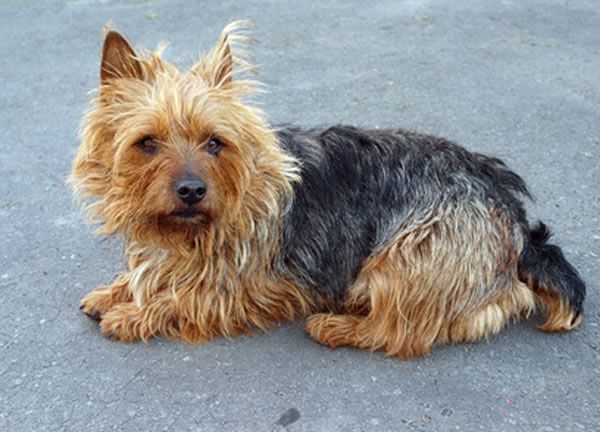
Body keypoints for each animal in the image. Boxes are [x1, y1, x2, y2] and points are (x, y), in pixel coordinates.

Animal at [68, 21, 584, 358]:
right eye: (146, 143)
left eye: (214, 142)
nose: (192, 190)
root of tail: (513, 213)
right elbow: (150, 273)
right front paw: (117, 290)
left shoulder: (260, 285)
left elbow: (188, 296)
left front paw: (134, 314)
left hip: (409, 255)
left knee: (402, 333)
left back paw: (338, 325)